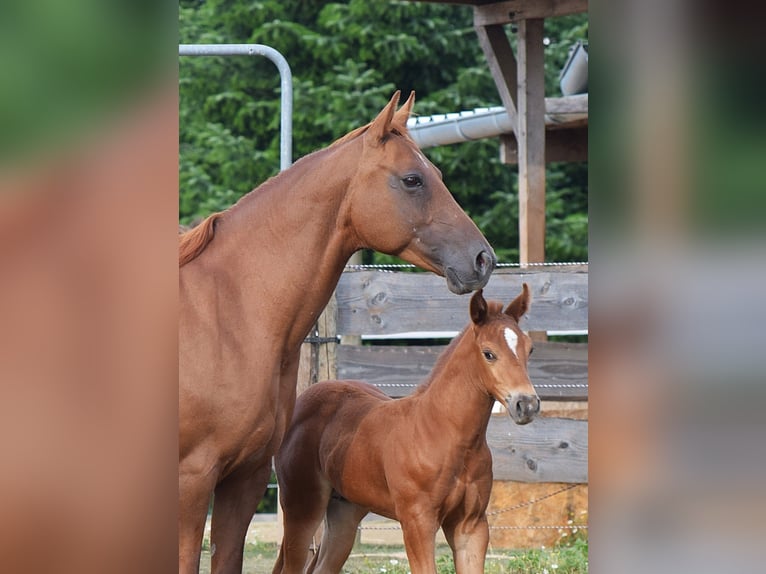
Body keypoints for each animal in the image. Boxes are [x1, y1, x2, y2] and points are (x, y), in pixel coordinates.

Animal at [273, 284, 540, 574]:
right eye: (489, 353)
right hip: (302, 510)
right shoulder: (417, 522)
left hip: (345, 513)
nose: (527, 404)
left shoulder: (471, 526)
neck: (446, 435)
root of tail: (301, 403)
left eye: (529, 350)